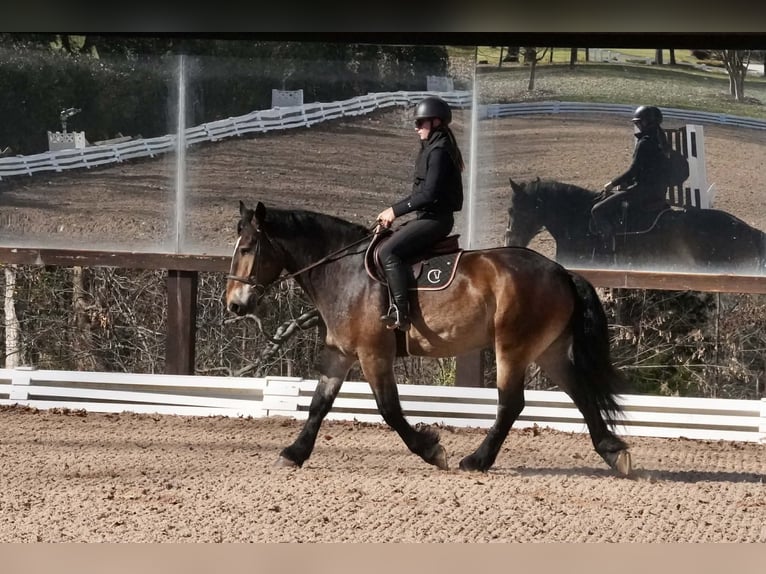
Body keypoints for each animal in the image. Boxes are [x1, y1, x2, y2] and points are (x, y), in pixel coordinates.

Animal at [225, 200, 632, 475]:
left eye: (246, 248)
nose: (233, 304)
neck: (345, 271)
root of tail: (562, 272)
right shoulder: (340, 353)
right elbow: (318, 404)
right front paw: (294, 452)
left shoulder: (373, 354)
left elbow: (389, 409)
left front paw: (431, 450)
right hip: (548, 350)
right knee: (580, 393)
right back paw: (613, 452)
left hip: (512, 347)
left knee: (511, 403)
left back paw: (477, 460)